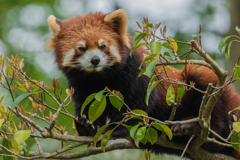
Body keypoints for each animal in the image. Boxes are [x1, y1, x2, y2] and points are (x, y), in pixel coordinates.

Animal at [47, 8, 240, 159]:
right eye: (81, 48)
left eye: (102, 46)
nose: (95, 60)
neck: (100, 76)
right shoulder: (81, 84)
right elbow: (87, 104)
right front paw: (87, 125)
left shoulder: (138, 73)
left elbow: (139, 103)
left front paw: (118, 127)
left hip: (215, 93)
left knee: (212, 104)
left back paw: (194, 127)